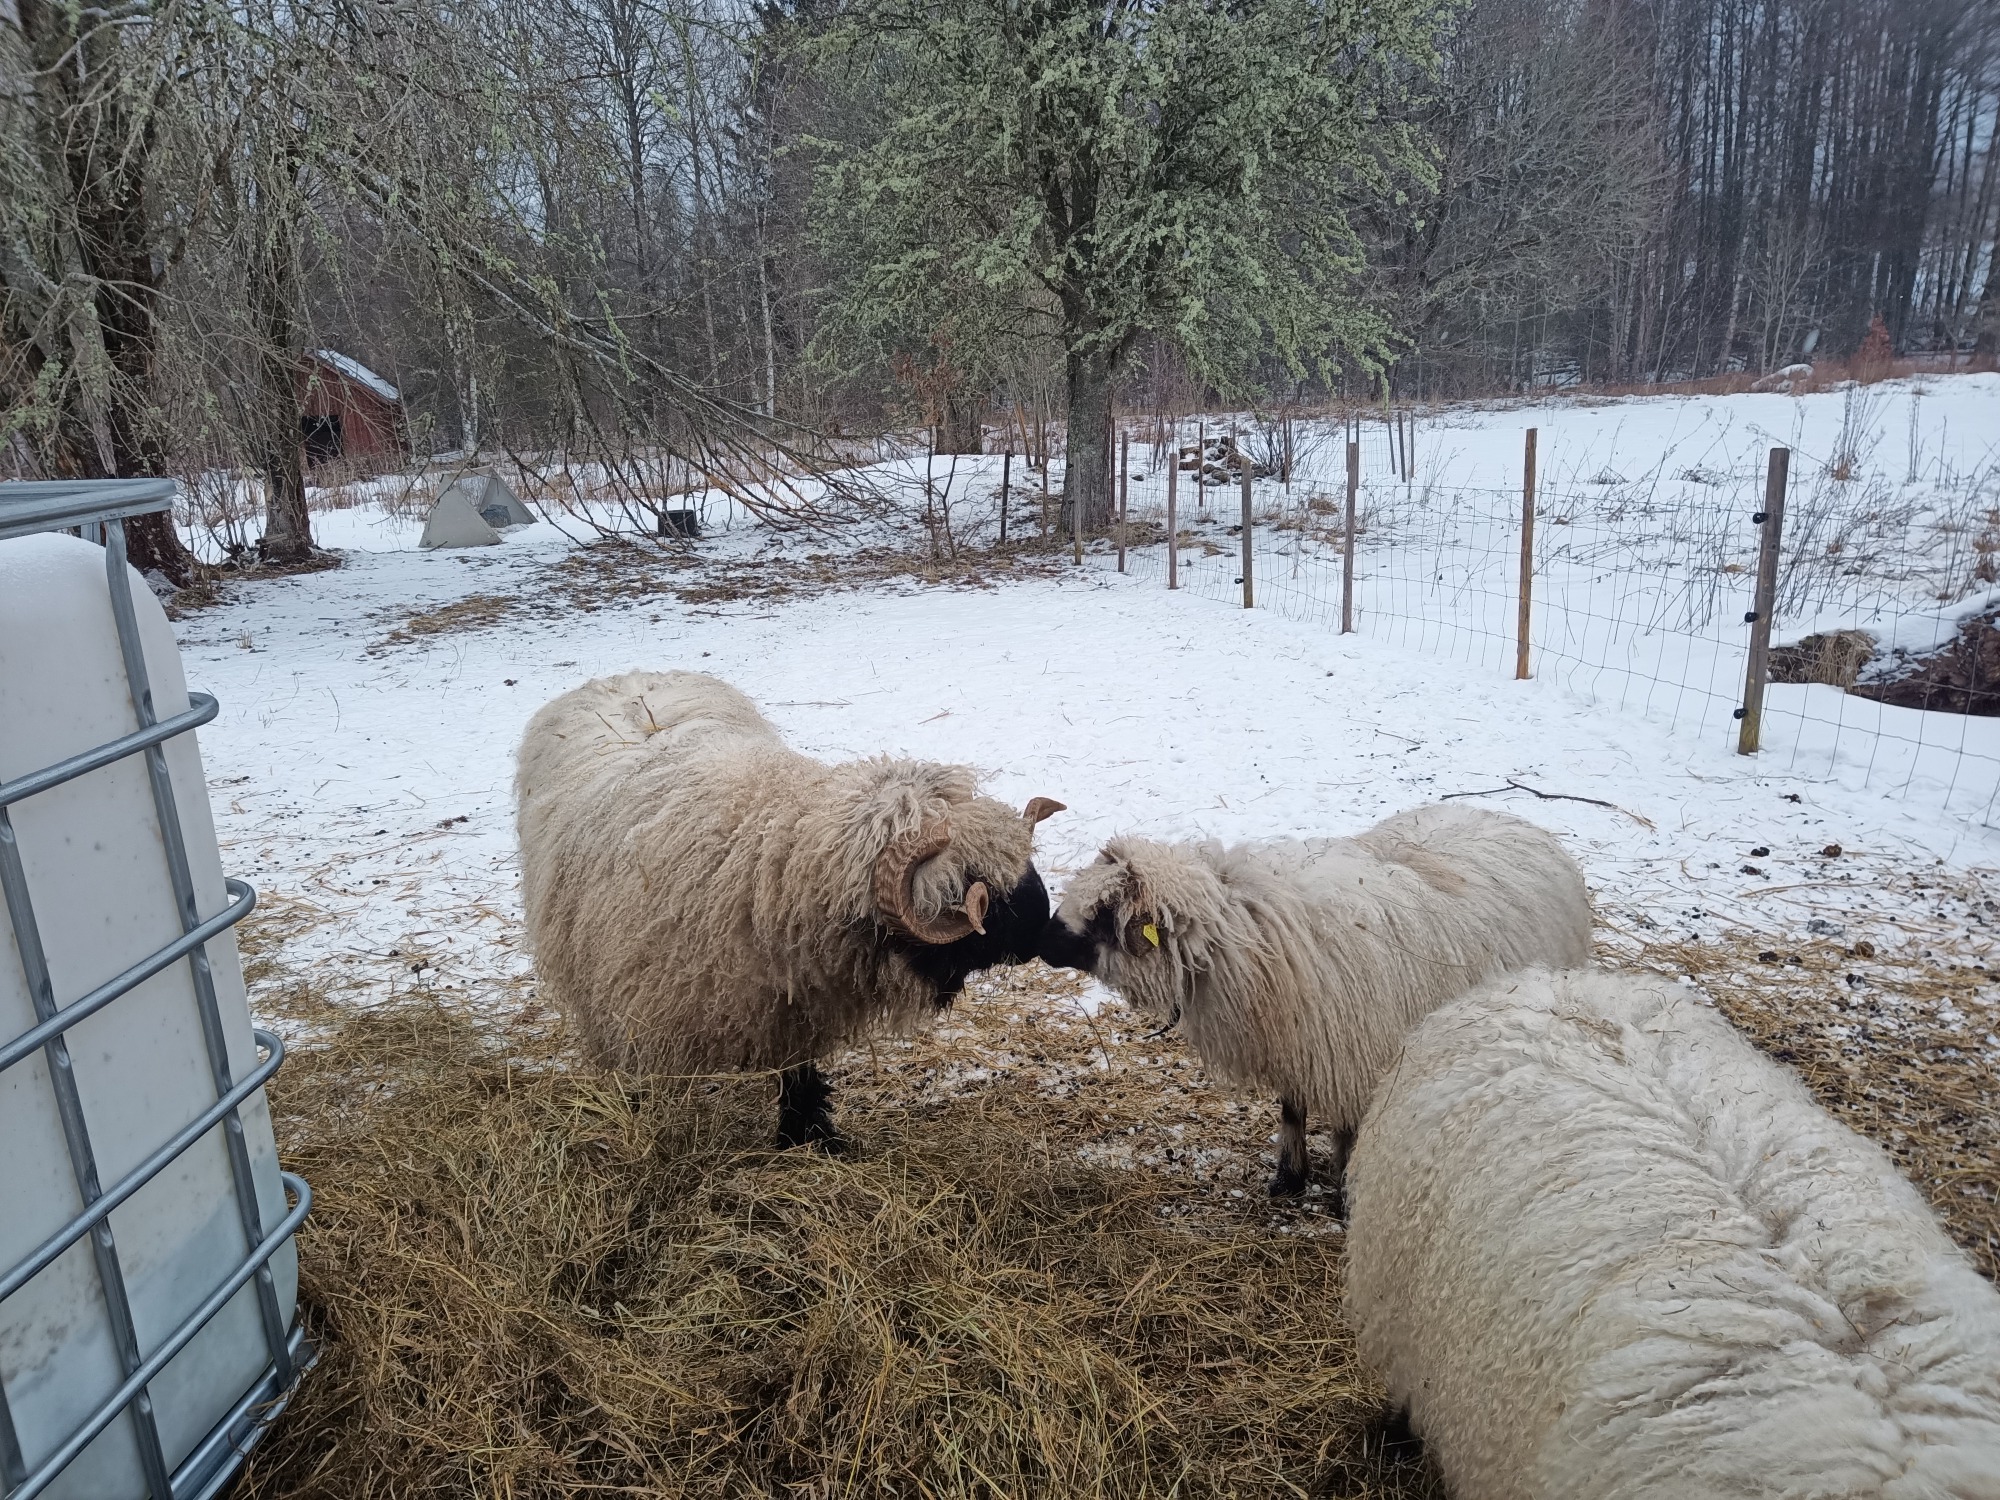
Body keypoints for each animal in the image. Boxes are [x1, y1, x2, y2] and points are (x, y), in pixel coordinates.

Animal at [516, 670, 1064, 1149]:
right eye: (975, 887)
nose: (1046, 931)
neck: (772, 853)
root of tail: (628, 678)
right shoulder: (630, 1006)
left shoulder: (790, 1000)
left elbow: (797, 1075)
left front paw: (810, 1138)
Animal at [1036, 803, 1589, 1200]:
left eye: (1105, 914)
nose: (1040, 937)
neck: (1249, 934)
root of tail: (1520, 822)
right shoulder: (1301, 1038)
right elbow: (1292, 1109)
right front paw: (1289, 1177)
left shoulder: (1355, 1048)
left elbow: (1345, 1125)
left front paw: (1342, 1190)